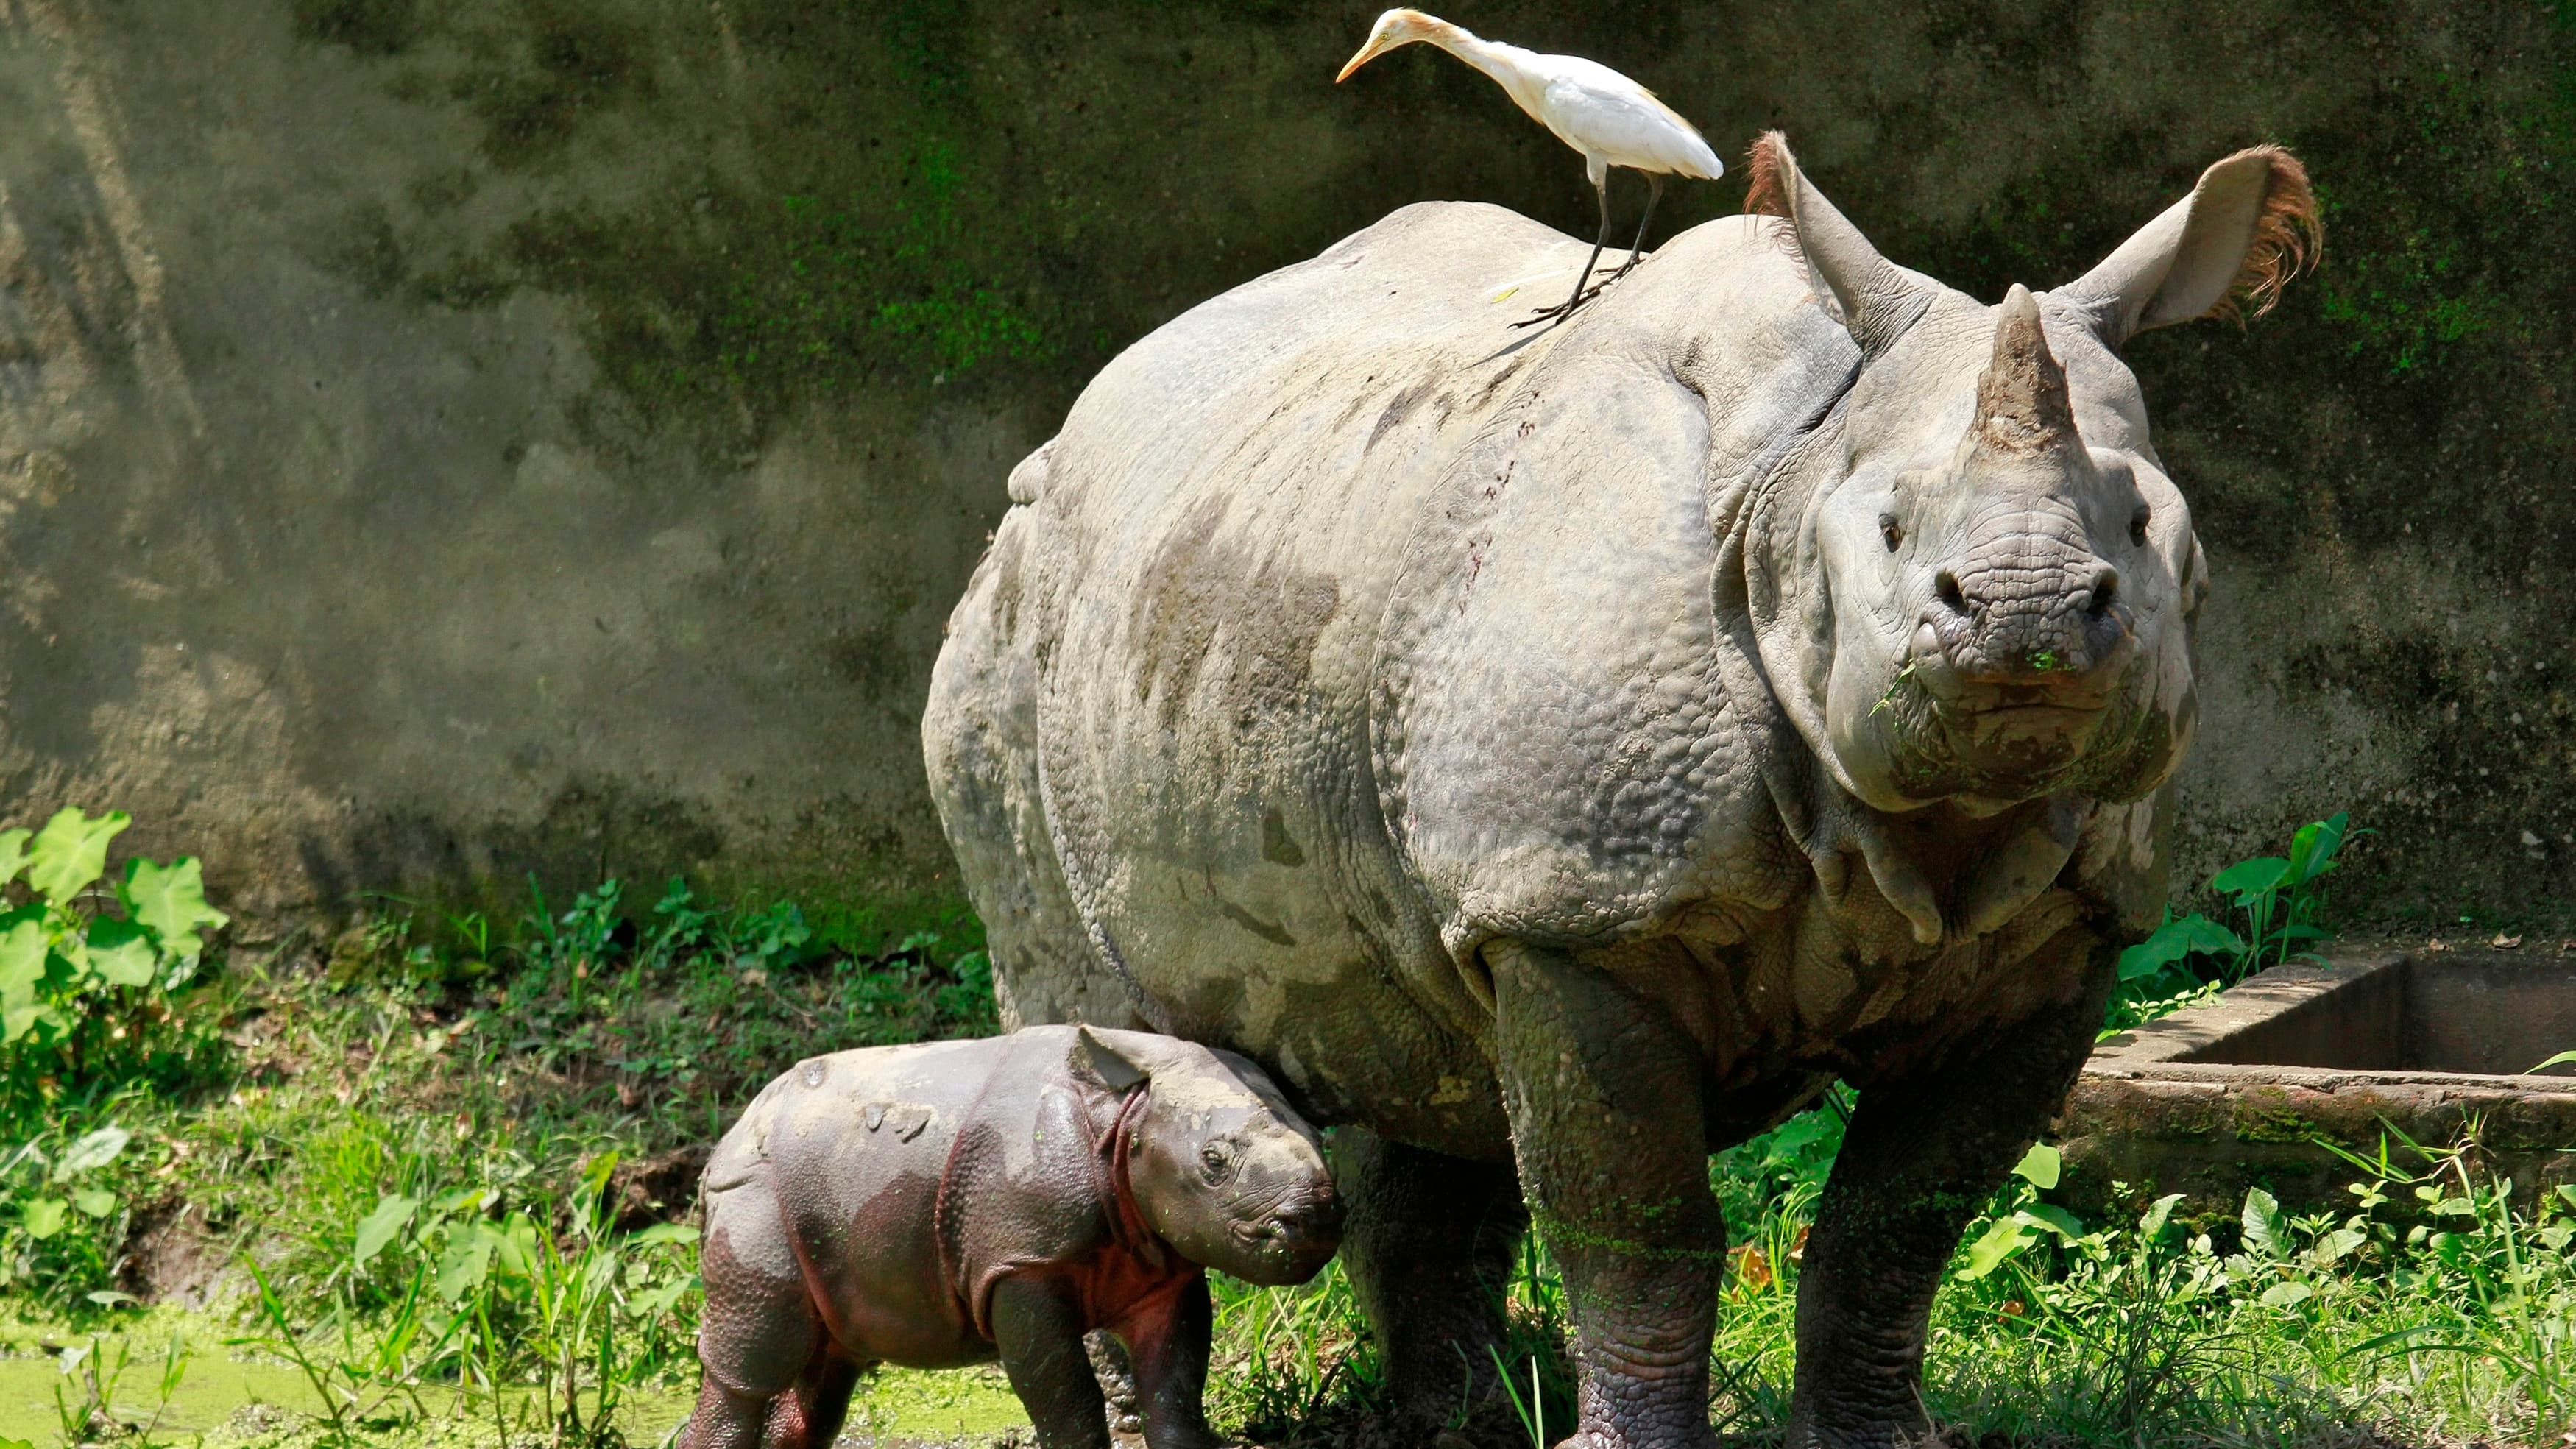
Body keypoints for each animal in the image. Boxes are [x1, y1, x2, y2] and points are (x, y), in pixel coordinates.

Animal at [923, 132, 2316, 1449]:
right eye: (1891, 531)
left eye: (2146, 527)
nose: (2029, 614)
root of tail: (1085, 415)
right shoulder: (1575, 906)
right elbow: (1638, 1216)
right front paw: (1628, 1440)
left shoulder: (2070, 934)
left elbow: (1899, 1219)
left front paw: (1877, 1439)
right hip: (1011, 629)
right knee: (1093, 1009)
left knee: (1427, 1052)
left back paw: (1466, 1419)